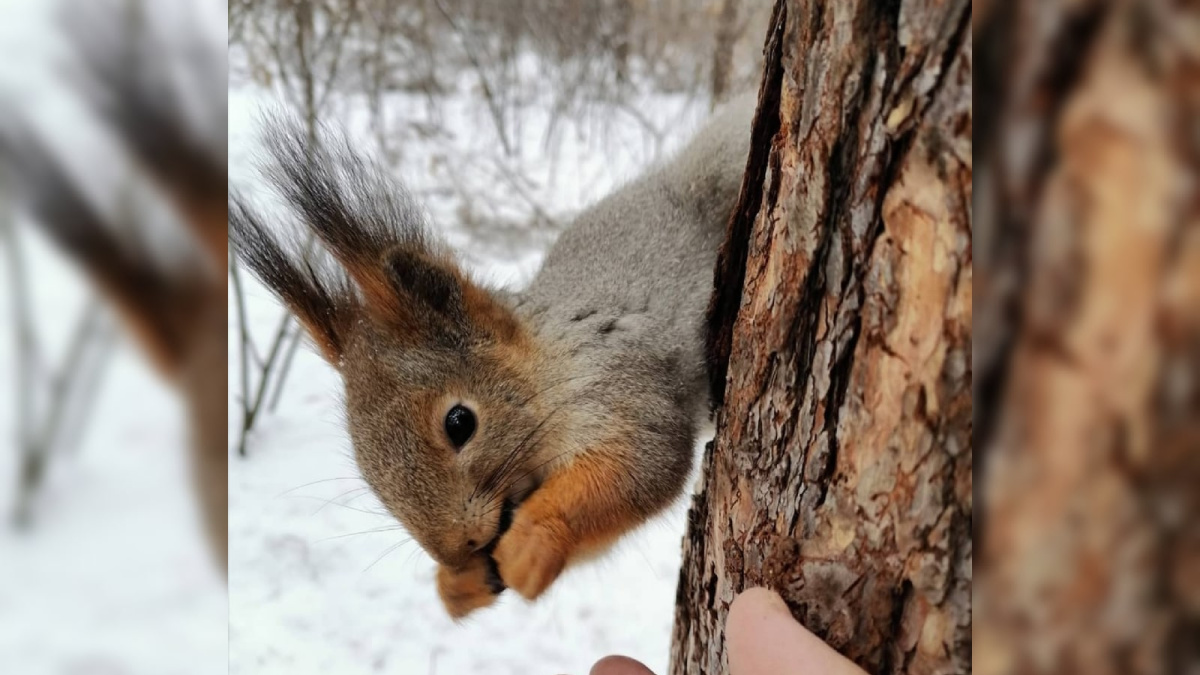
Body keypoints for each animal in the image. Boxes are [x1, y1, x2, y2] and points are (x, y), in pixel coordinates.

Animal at [230, 93, 753, 614]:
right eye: (364, 467)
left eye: (460, 423)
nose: (455, 549)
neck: (544, 364)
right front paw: (459, 583)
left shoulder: (621, 380)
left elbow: (638, 466)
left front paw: (530, 542)